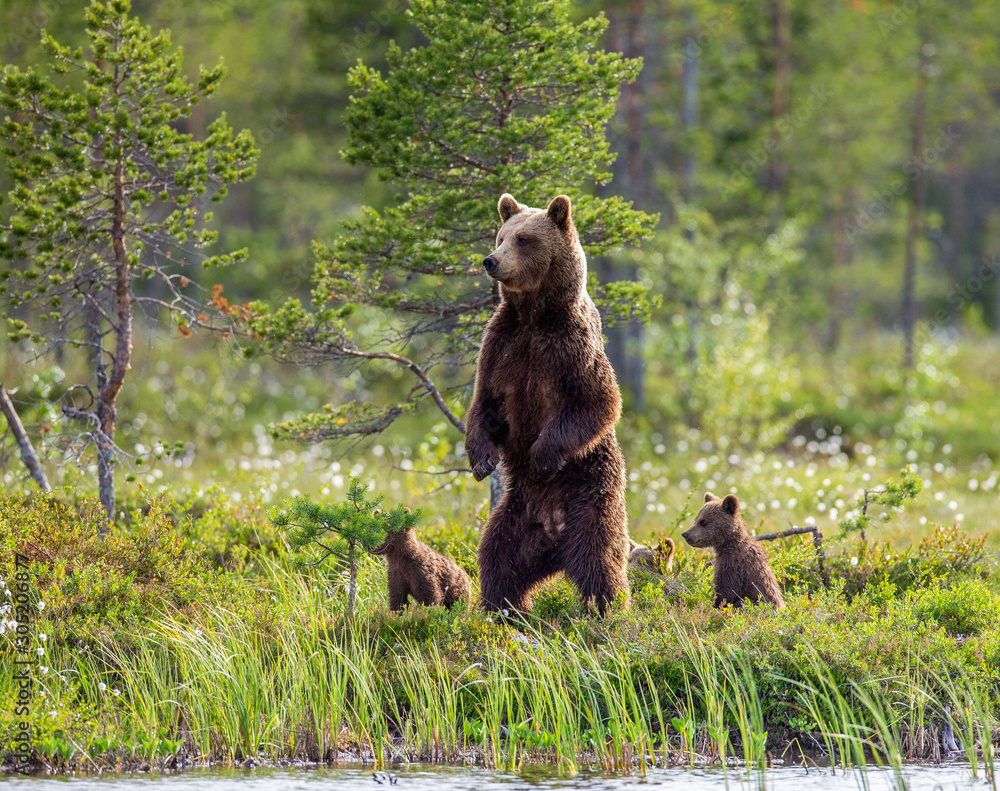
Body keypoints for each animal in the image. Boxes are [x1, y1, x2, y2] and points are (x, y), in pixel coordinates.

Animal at [465, 193, 630, 616]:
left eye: (524, 239)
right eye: (502, 235)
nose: (491, 260)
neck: (534, 316)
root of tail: (554, 537)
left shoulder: (571, 347)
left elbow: (598, 403)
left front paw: (541, 454)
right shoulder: (500, 345)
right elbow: (483, 403)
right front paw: (482, 460)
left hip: (590, 500)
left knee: (600, 561)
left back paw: (607, 610)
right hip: (515, 515)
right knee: (497, 557)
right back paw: (503, 609)